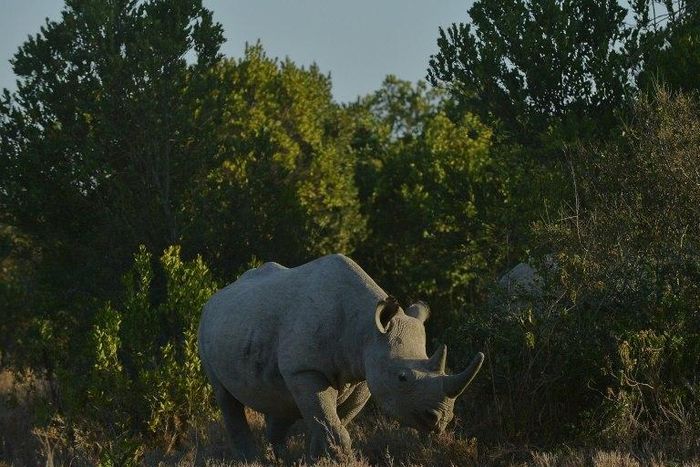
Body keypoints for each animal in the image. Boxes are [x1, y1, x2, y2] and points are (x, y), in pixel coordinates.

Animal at [198, 254, 484, 460]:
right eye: (402, 378)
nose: (440, 420)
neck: (366, 329)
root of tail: (216, 296)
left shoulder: (362, 372)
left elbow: (331, 421)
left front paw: (316, 458)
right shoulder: (306, 369)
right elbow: (329, 421)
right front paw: (336, 458)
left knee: (278, 399)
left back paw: (280, 459)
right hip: (206, 327)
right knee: (226, 397)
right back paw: (250, 460)